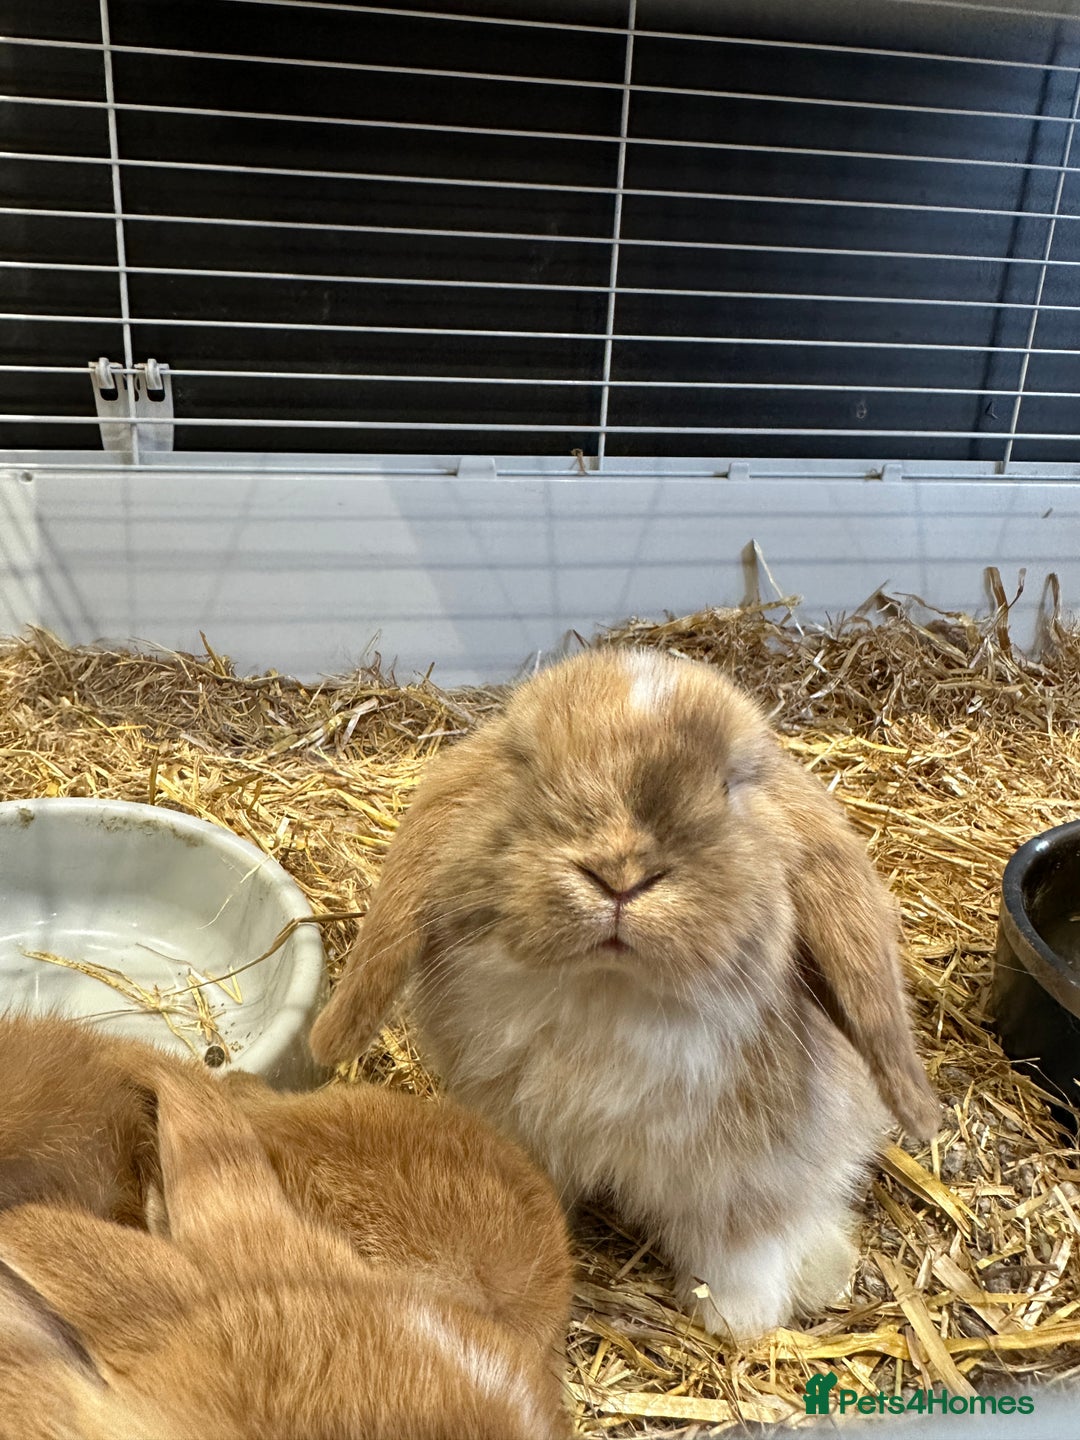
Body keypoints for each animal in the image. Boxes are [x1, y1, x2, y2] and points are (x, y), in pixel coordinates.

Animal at [310, 644, 939, 1341]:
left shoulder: (747, 1176)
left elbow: (741, 1245)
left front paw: (738, 1320)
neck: (611, 995)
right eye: (526, 765)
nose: (618, 873)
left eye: (730, 784)